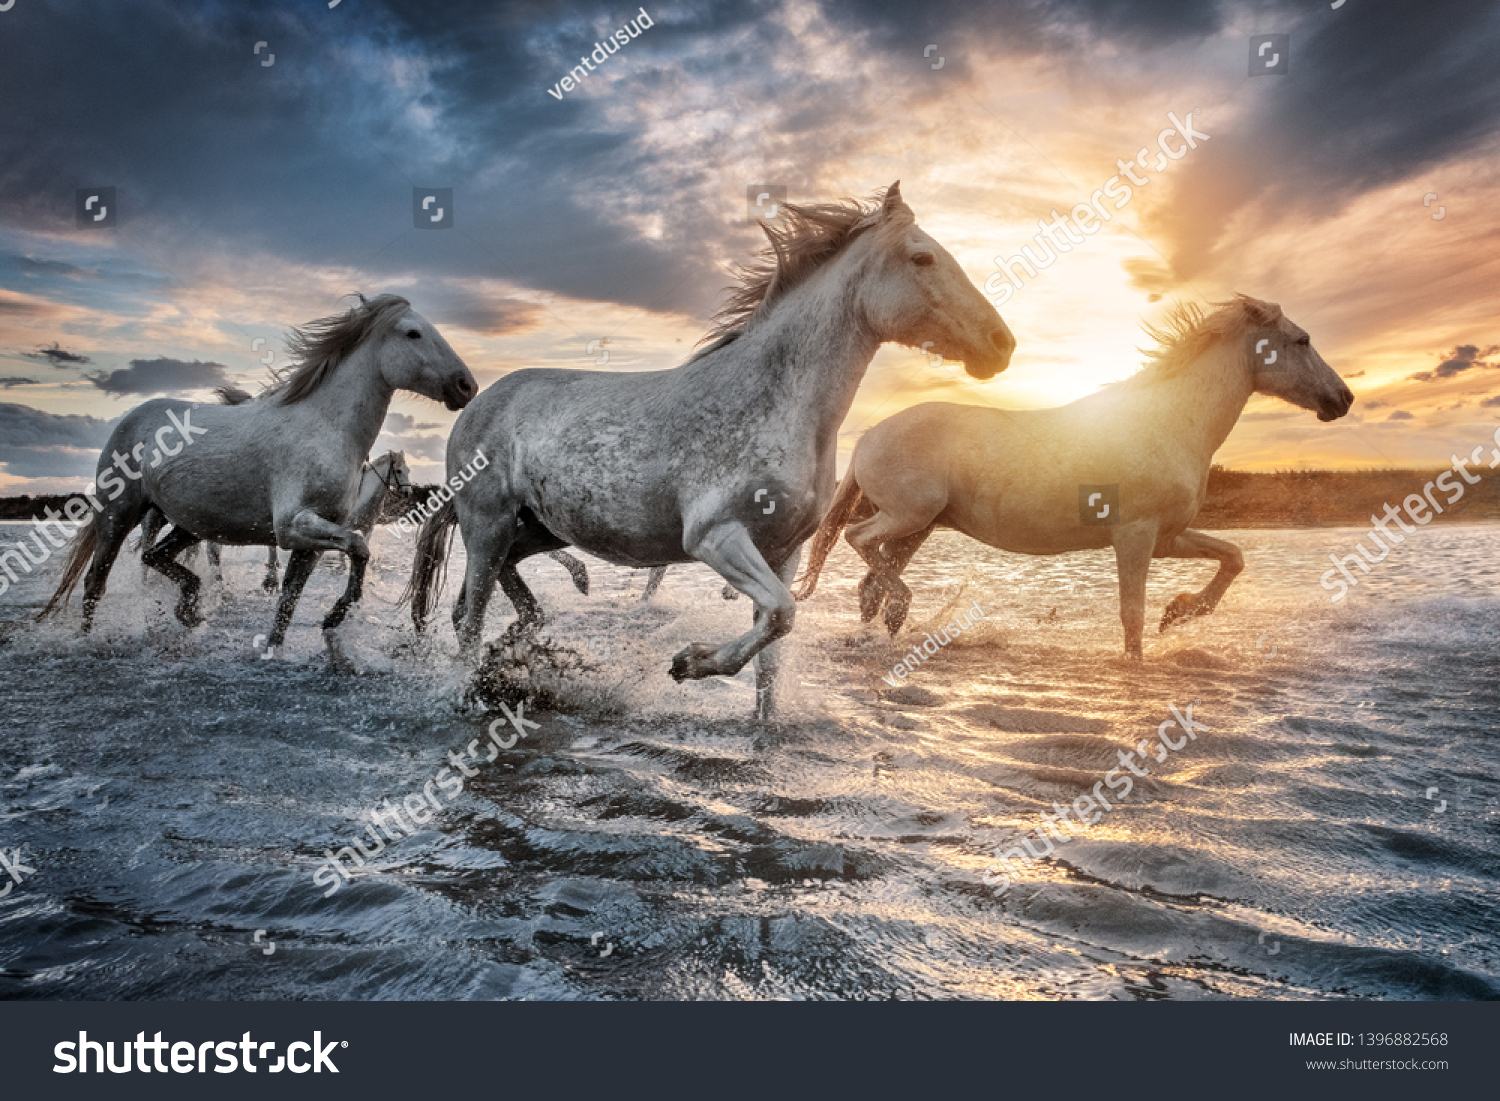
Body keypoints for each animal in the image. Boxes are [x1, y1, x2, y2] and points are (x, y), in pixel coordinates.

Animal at [41, 294, 476, 657]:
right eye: (413, 332)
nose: (465, 385)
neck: (324, 427)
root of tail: (132, 417)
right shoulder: (292, 526)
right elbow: (358, 546)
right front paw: (334, 614)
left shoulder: (313, 538)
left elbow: (290, 600)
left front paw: (281, 644)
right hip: (118, 515)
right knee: (95, 582)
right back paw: (87, 639)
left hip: (189, 522)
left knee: (154, 555)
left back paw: (189, 608)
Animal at [406, 182, 1015, 719]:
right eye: (922, 258)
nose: (1002, 344)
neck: (774, 404)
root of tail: (479, 403)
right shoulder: (715, 537)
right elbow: (781, 614)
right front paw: (689, 663)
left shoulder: (784, 552)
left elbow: (771, 658)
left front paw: (761, 730)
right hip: (487, 524)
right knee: (470, 617)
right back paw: (473, 690)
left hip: (537, 529)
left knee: (487, 599)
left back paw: (518, 647)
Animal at [795, 295, 1354, 657]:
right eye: (1301, 340)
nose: (1343, 399)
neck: (1171, 421)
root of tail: (868, 435)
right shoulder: (1135, 536)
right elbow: (1132, 619)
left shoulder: (1167, 537)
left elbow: (1232, 557)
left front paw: (1181, 611)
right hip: (908, 515)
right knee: (857, 540)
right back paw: (901, 608)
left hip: (920, 527)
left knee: (872, 583)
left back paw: (887, 628)